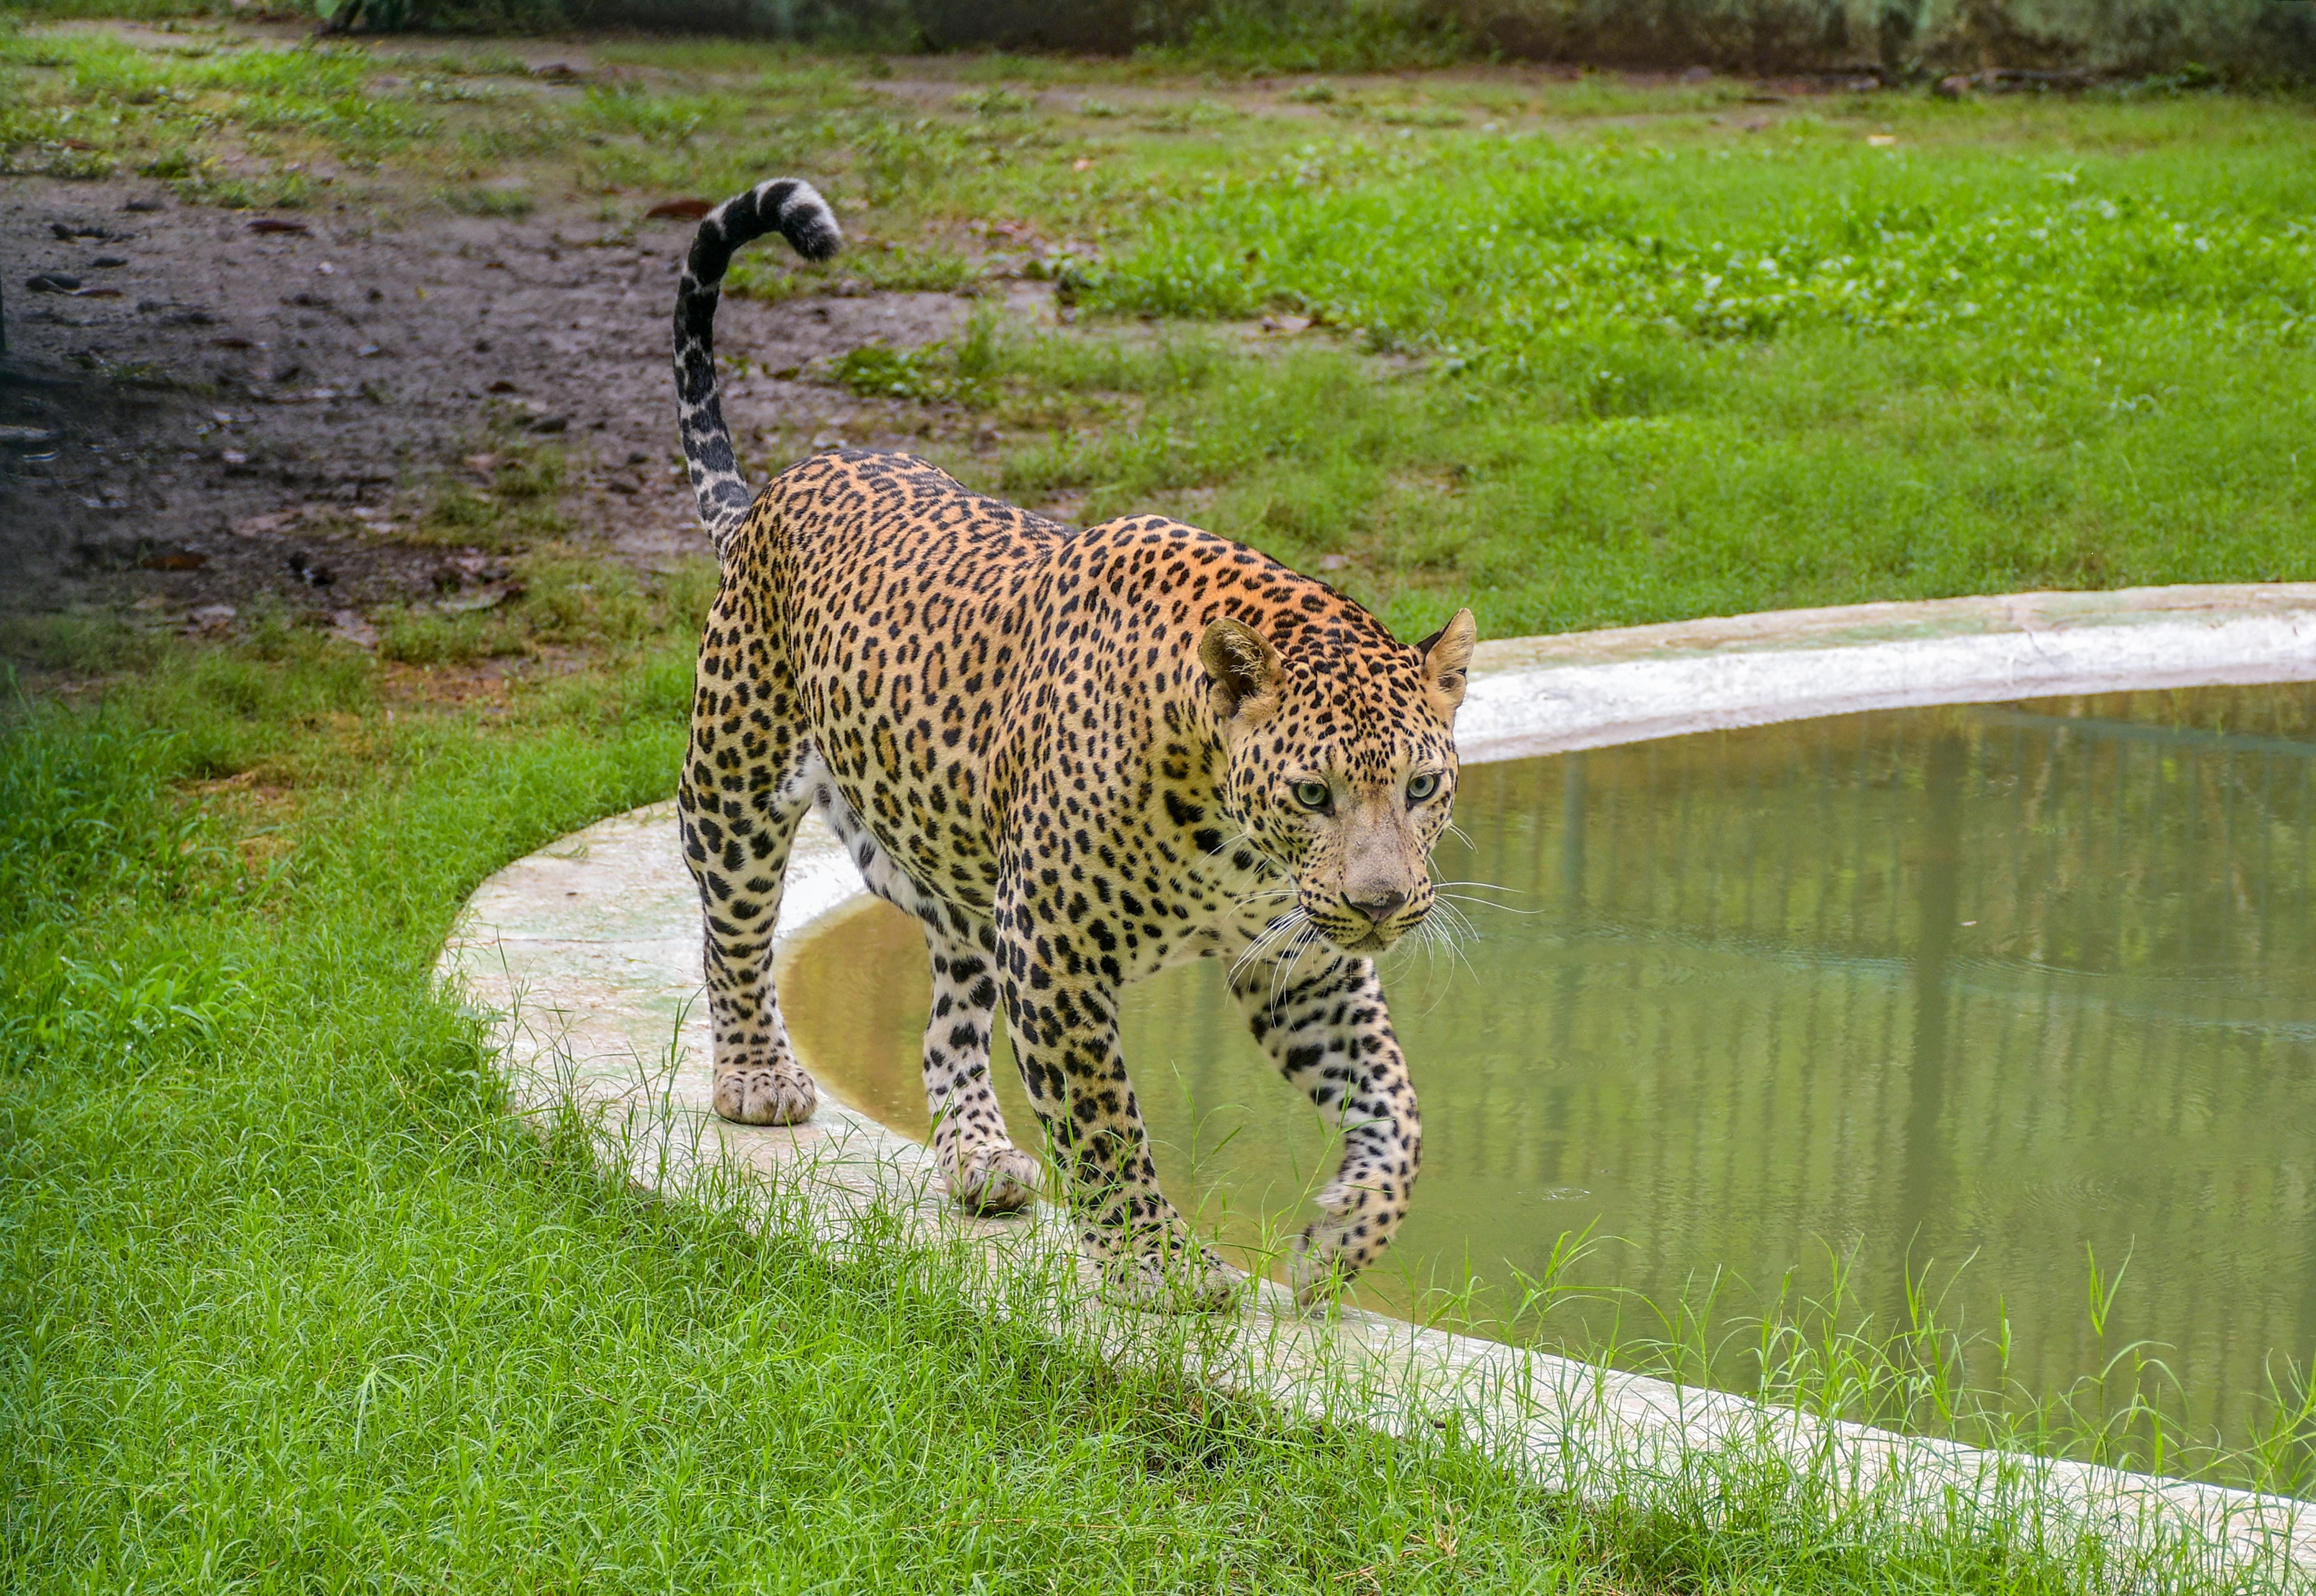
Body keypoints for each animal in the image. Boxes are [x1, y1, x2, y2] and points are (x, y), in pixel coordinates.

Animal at [671, 177, 1478, 1310]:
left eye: (1420, 786)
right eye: (1312, 794)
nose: (1381, 903)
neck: (1227, 830)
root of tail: (779, 491)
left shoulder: (1301, 959)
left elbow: (1397, 1107)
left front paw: (1342, 1238)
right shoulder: (1053, 948)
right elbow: (1105, 1120)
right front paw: (1158, 1263)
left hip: (959, 875)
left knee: (946, 1024)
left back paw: (976, 1155)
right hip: (736, 778)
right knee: (734, 932)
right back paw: (756, 1077)